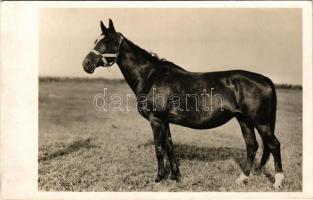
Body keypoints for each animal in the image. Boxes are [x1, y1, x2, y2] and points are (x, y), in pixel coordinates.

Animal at [81, 18, 284, 188]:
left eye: (107, 41)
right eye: (95, 41)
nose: (86, 64)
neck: (151, 77)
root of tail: (265, 79)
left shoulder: (156, 120)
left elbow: (159, 148)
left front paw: (159, 178)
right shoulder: (165, 121)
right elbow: (170, 147)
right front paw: (175, 176)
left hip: (261, 122)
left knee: (273, 145)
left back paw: (278, 182)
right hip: (244, 120)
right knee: (252, 146)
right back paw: (242, 178)